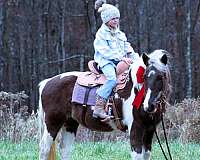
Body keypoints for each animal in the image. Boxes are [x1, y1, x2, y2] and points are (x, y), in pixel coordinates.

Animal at [38, 49, 171, 159]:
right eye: (144, 76)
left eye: (161, 77)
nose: (149, 105)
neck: (136, 89)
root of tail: (46, 82)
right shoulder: (135, 128)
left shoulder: (149, 130)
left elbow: (146, 154)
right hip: (52, 122)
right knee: (44, 149)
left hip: (70, 123)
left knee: (65, 150)